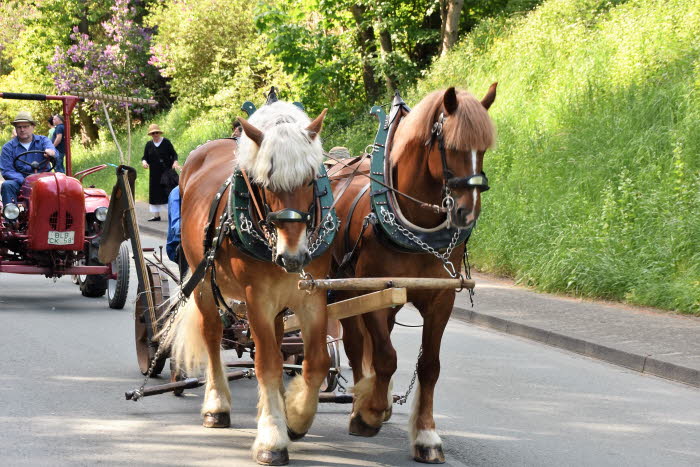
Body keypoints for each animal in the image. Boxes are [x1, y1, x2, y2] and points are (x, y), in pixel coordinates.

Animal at [168, 100, 334, 466]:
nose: (292, 258)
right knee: (212, 335)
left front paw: (295, 415)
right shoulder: (257, 299)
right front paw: (272, 436)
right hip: (203, 282)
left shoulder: (311, 296)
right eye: (266, 185)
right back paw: (216, 405)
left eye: (310, 180)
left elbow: (316, 362)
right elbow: (267, 365)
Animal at [330, 84, 494, 464]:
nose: (467, 213)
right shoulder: (373, 291)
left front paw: (426, 435)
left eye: (485, 148)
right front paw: (371, 412)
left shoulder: (440, 298)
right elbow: (386, 356)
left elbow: (430, 366)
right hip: (341, 290)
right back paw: (361, 407)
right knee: (356, 344)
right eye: (451, 147)